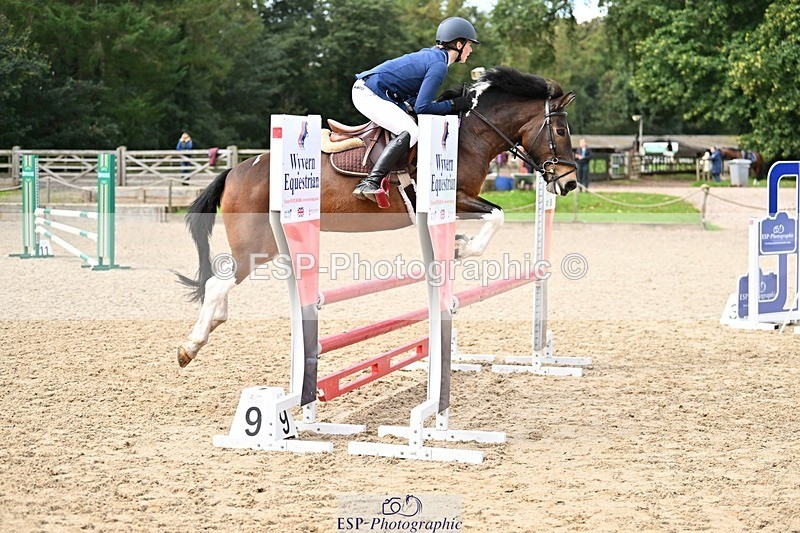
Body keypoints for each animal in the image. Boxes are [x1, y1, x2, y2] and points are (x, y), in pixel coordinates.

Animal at [175, 66, 579, 367]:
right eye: (560, 130)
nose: (570, 182)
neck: (470, 135)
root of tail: (237, 170)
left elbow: (493, 216)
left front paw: (458, 246)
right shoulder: (452, 198)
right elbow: (497, 215)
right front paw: (463, 248)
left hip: (269, 245)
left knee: (222, 283)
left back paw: (211, 326)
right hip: (256, 244)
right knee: (218, 284)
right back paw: (190, 346)